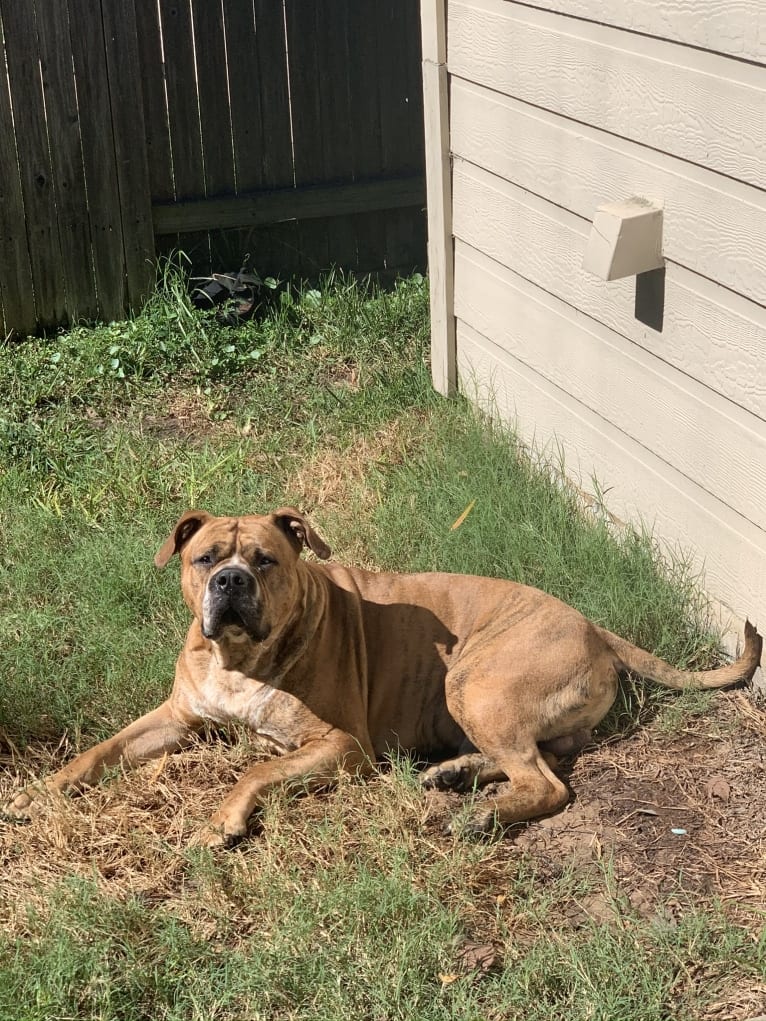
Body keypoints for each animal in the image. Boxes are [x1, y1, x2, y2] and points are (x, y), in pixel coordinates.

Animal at [6, 506, 763, 841]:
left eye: (266, 559)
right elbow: (98, 751)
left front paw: (223, 817)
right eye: (205, 558)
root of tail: (592, 624)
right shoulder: (174, 716)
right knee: (540, 758)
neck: (242, 660)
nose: (230, 580)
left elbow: (257, 768)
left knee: (547, 783)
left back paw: (478, 814)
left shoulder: (341, 745)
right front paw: (39, 792)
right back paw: (456, 776)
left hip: (474, 679)